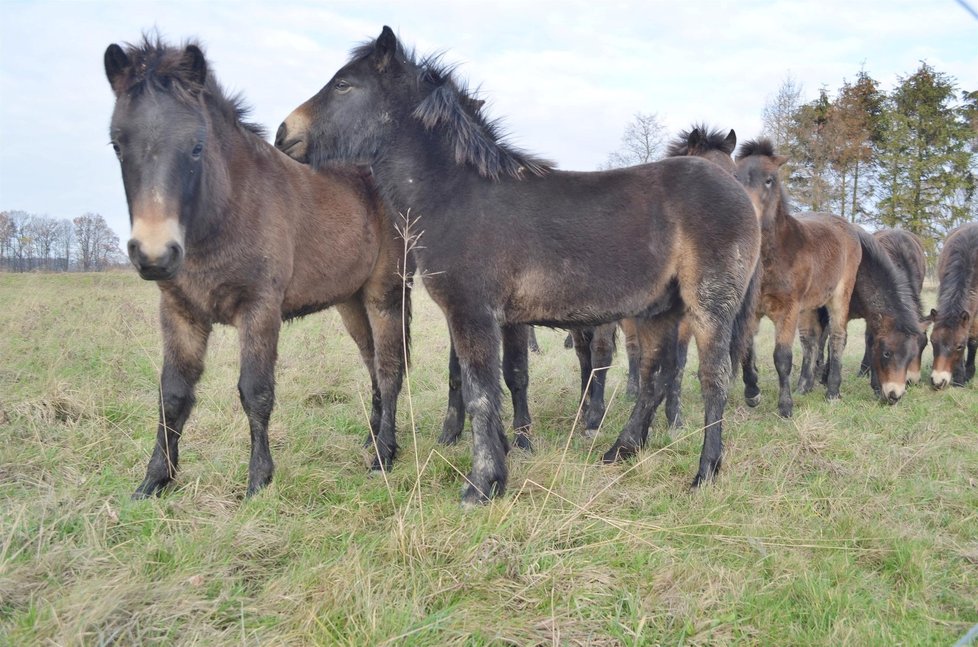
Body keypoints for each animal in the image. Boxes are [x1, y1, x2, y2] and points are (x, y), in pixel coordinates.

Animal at [106, 36, 408, 496]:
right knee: (373, 363)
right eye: (117, 144)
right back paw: (372, 439)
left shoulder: (260, 309)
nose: (155, 255)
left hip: (385, 294)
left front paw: (259, 481)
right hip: (351, 302)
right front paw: (155, 480)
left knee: (390, 369)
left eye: (196, 146)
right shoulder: (180, 312)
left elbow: (256, 391)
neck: (228, 210)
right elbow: (172, 394)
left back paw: (384, 454)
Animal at [274, 27, 764, 504]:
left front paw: (482, 484)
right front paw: (501, 460)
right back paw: (620, 451)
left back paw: (704, 472)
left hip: (708, 306)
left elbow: (481, 394)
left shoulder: (473, 313)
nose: (283, 134)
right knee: (652, 379)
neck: (456, 195)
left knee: (712, 379)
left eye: (343, 84)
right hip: (660, 310)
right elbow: (489, 387)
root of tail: (738, 193)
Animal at [732, 139, 860, 418]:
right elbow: (746, 350)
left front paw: (785, 406)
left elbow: (782, 357)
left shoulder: (788, 309)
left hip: (839, 295)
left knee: (837, 336)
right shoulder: (752, 311)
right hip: (809, 305)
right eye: (735, 178)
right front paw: (753, 394)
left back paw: (832, 391)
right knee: (812, 339)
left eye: (769, 180)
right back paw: (805, 386)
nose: (746, 217)